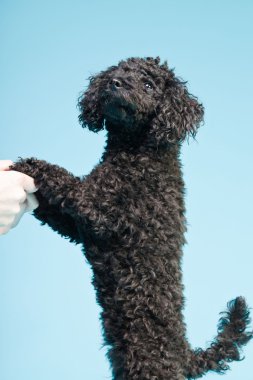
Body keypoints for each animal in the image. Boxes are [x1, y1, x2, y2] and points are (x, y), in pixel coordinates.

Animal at [13, 57, 251, 380]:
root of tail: (184, 355)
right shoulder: (79, 227)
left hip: (149, 364)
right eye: (117, 73)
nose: (115, 83)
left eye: (149, 85)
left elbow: (61, 177)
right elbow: (50, 211)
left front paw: (28, 164)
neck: (137, 152)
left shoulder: (97, 208)